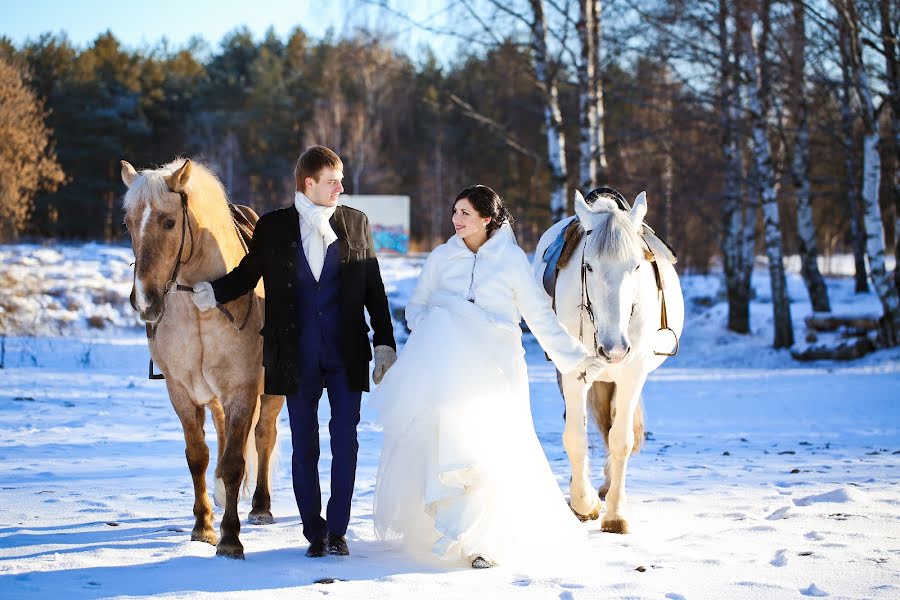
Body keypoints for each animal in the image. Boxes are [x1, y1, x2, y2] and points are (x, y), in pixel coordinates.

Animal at [119, 159, 282, 556]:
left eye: (168, 222)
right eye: (128, 223)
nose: (144, 300)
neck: (199, 307)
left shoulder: (241, 389)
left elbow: (237, 461)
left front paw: (230, 539)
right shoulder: (181, 390)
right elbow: (199, 457)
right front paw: (204, 527)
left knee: (263, 436)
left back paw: (260, 506)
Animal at [536, 190, 684, 532]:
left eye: (637, 267)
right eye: (588, 266)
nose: (613, 349)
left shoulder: (632, 373)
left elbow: (620, 440)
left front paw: (615, 514)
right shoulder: (572, 373)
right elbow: (575, 437)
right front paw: (584, 503)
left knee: (612, 425)